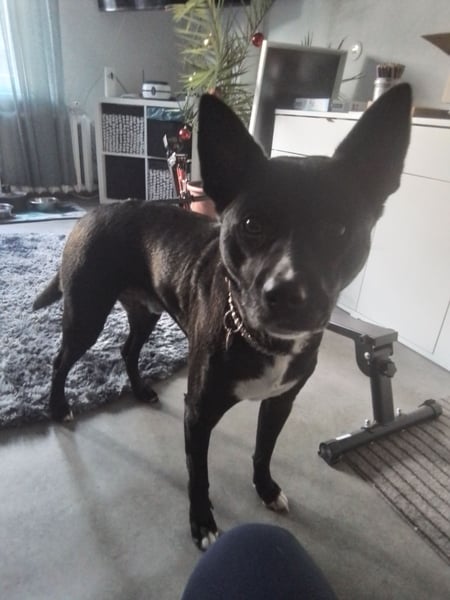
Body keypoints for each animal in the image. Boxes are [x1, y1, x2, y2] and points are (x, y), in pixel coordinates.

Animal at [33, 84, 411, 549]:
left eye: (339, 229)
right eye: (251, 224)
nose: (287, 294)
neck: (262, 339)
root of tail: (93, 212)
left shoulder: (280, 402)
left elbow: (264, 450)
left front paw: (266, 489)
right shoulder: (198, 414)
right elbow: (199, 476)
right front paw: (203, 524)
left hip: (145, 311)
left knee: (127, 349)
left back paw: (140, 390)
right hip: (86, 314)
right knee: (61, 360)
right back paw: (59, 408)